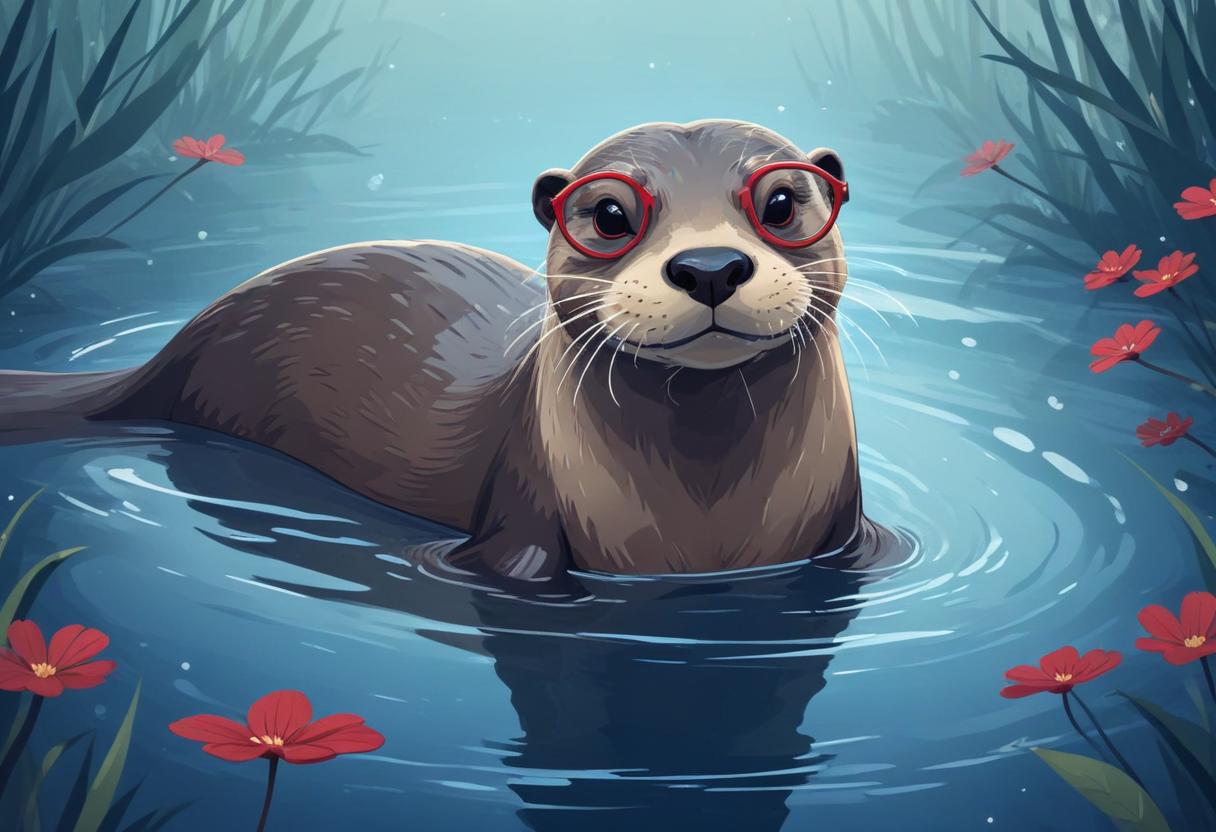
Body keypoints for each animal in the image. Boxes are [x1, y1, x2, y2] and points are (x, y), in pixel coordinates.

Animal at [0, 119, 881, 589]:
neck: (704, 538)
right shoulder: (520, 518)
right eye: (608, 214)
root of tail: (170, 350)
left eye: (780, 201)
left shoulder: (845, 530)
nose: (709, 266)